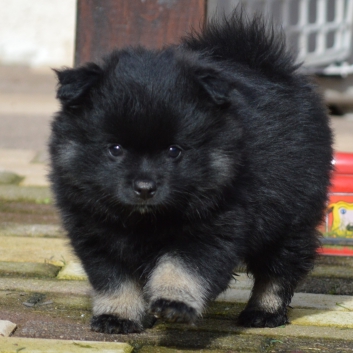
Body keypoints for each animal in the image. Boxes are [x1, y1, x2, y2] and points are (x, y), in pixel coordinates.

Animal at [49, 13, 332, 332]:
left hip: (291, 220)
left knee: (280, 269)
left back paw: (264, 311)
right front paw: (118, 315)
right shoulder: (94, 232)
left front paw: (174, 302)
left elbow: (182, 267)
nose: (145, 187)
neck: (144, 220)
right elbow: (113, 278)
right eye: (115, 149)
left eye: (174, 151)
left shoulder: (212, 227)